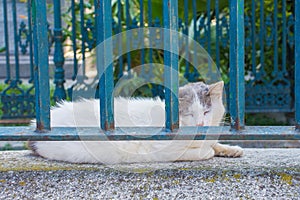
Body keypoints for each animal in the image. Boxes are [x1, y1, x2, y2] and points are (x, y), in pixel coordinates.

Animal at [29, 81, 243, 164]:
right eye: (190, 114)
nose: (200, 124)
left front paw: (231, 149)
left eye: (207, 112)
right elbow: (201, 152)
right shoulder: (164, 151)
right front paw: (210, 151)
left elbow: (215, 143)